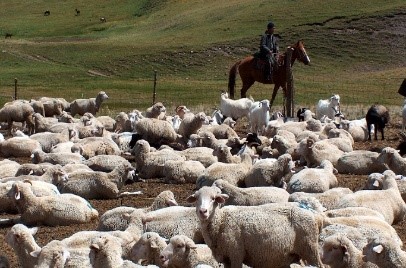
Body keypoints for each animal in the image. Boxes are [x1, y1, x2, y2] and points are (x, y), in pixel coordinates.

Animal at [186, 186, 324, 268]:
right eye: (196, 198)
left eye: (213, 198)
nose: (203, 211)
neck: (221, 222)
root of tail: (314, 214)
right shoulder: (226, 258)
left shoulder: (236, 253)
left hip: (310, 248)